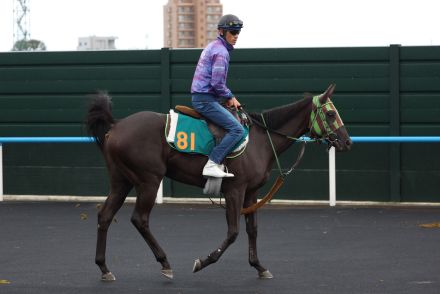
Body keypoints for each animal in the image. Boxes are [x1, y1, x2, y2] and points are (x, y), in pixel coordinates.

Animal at [87, 84, 350, 282]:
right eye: (330, 114)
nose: (347, 142)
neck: (260, 140)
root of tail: (116, 125)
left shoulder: (251, 192)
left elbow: (252, 229)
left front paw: (259, 266)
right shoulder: (235, 190)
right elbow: (233, 232)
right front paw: (203, 261)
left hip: (121, 181)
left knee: (105, 215)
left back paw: (104, 268)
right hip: (149, 180)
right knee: (139, 219)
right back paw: (164, 262)